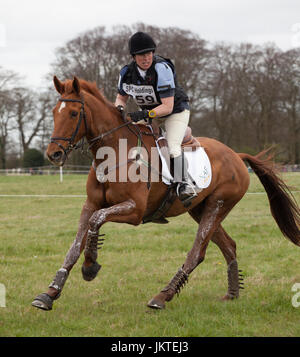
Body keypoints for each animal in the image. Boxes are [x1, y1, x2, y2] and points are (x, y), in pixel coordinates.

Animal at [31, 76, 300, 308]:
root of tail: (237, 155)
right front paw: (50, 292)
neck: (114, 153)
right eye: (54, 113)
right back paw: (232, 293)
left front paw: (90, 266)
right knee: (229, 246)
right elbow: (76, 244)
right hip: (200, 209)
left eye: (73, 113)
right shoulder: (90, 205)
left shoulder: (135, 211)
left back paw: (163, 296)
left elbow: (96, 222)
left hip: (219, 204)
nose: (54, 154)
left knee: (197, 252)